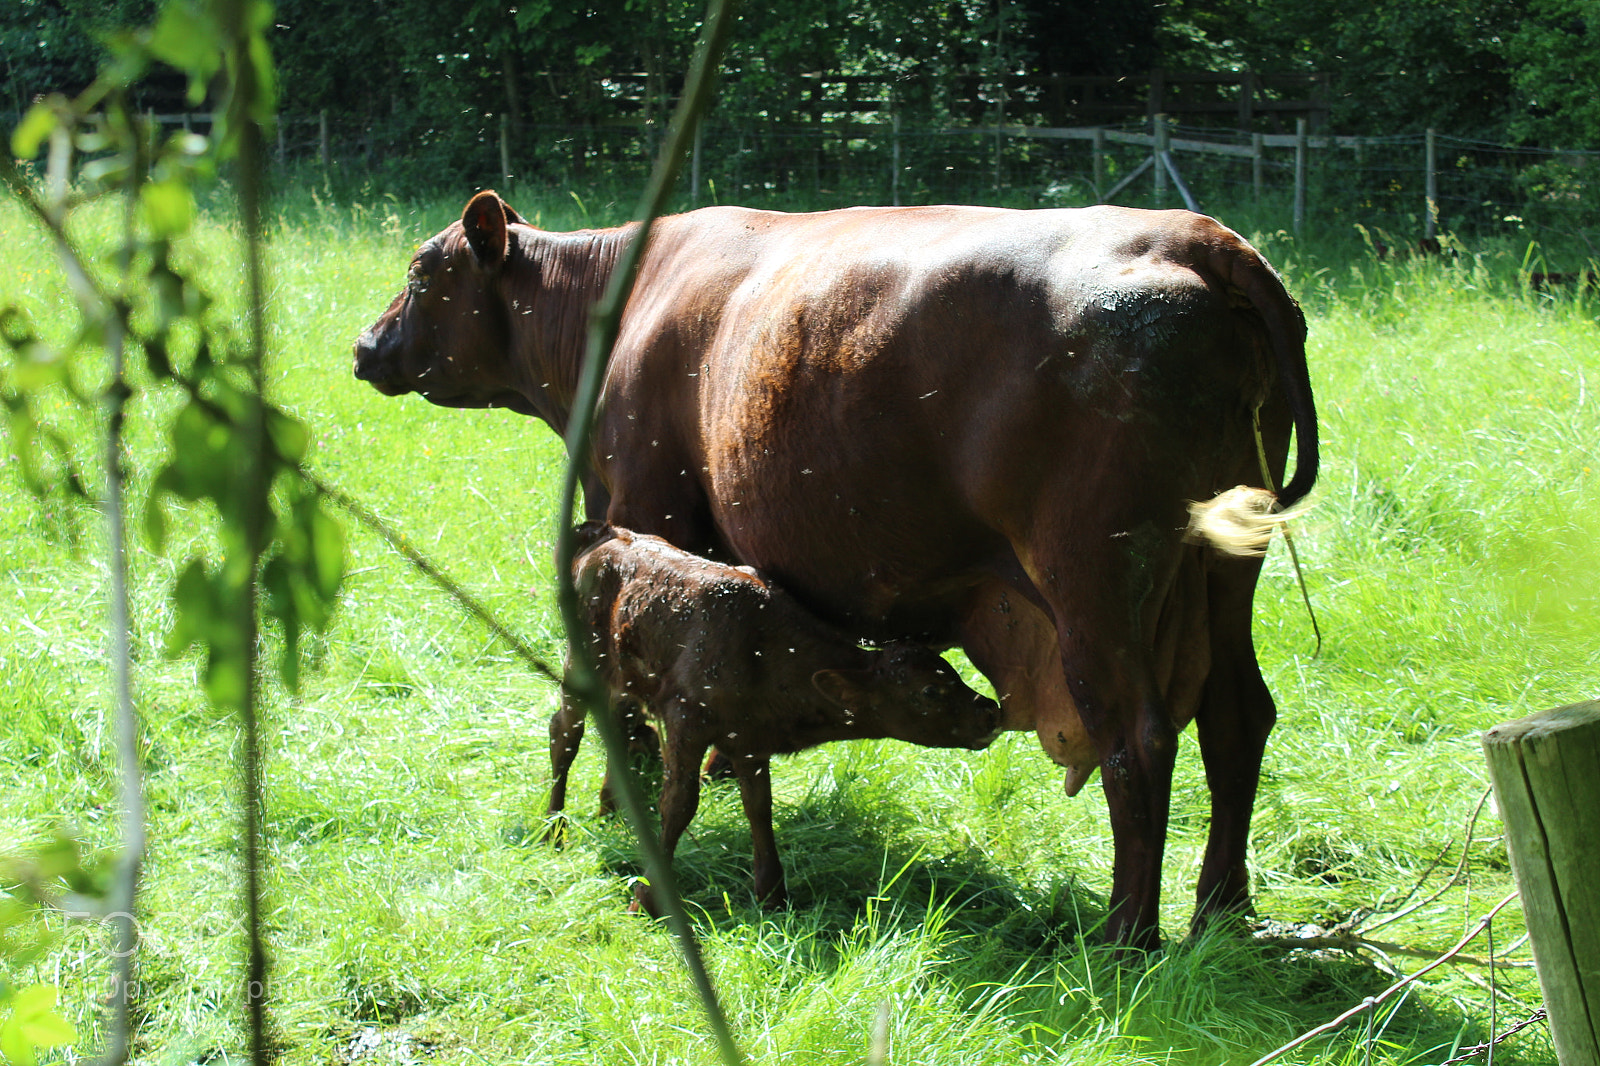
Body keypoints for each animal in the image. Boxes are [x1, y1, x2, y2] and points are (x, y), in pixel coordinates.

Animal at [556, 520, 1001, 912]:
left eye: (953, 673)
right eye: (929, 691)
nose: (991, 712)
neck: (760, 647)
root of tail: (604, 532)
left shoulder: (750, 742)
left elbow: (759, 806)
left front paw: (772, 895)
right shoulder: (687, 722)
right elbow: (679, 804)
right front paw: (647, 899)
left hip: (625, 683)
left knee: (618, 730)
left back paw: (610, 810)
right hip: (582, 662)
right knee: (565, 734)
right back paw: (552, 830)